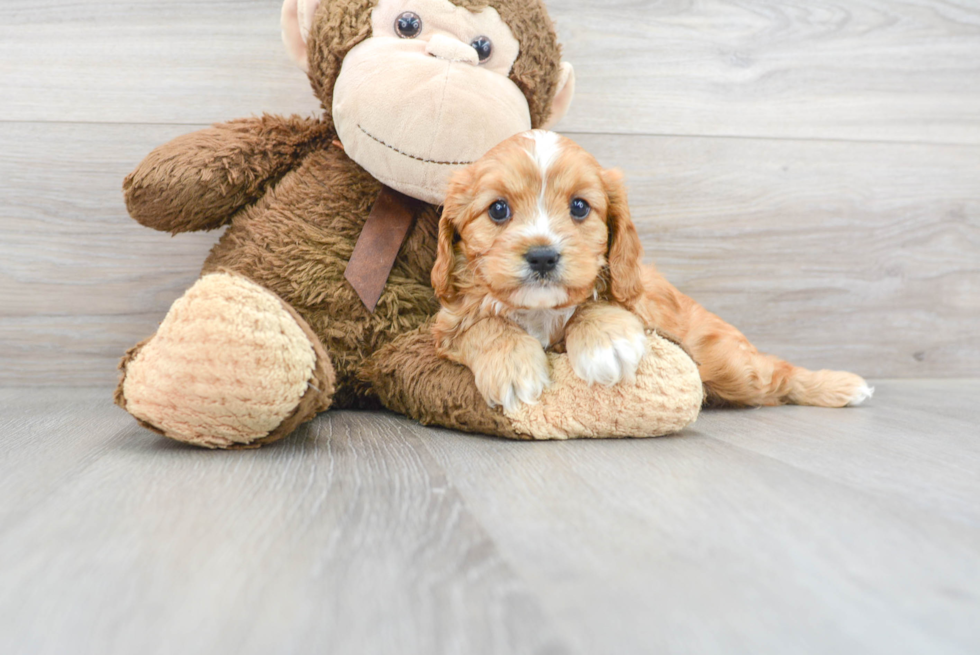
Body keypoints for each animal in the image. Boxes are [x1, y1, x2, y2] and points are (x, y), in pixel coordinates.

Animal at [432, 130, 868, 412]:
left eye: (579, 207)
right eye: (498, 209)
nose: (542, 257)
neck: (540, 311)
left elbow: (596, 303)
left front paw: (605, 342)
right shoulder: (445, 325)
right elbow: (484, 326)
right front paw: (513, 368)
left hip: (731, 366)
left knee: (777, 373)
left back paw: (843, 386)